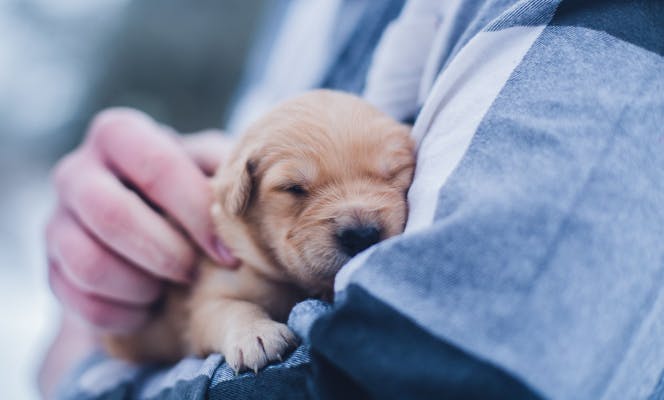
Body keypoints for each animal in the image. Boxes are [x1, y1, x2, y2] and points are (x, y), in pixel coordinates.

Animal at [104, 90, 416, 372]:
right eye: (294, 188)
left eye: (394, 173)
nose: (361, 236)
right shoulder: (209, 295)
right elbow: (231, 308)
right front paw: (255, 335)